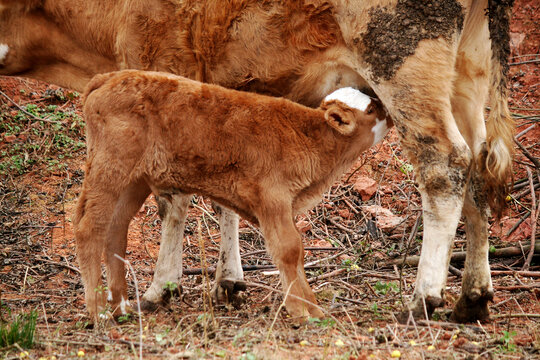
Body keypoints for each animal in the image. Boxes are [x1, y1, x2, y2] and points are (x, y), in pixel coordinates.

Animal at [74, 70, 390, 320]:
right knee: (89, 228)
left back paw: (122, 306)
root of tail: (108, 78)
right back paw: (99, 311)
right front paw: (303, 311)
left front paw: (310, 306)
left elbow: (296, 252)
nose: (387, 108)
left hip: (134, 180)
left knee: (116, 228)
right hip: (109, 169)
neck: (308, 136)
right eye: (370, 109)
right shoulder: (272, 199)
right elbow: (288, 249)